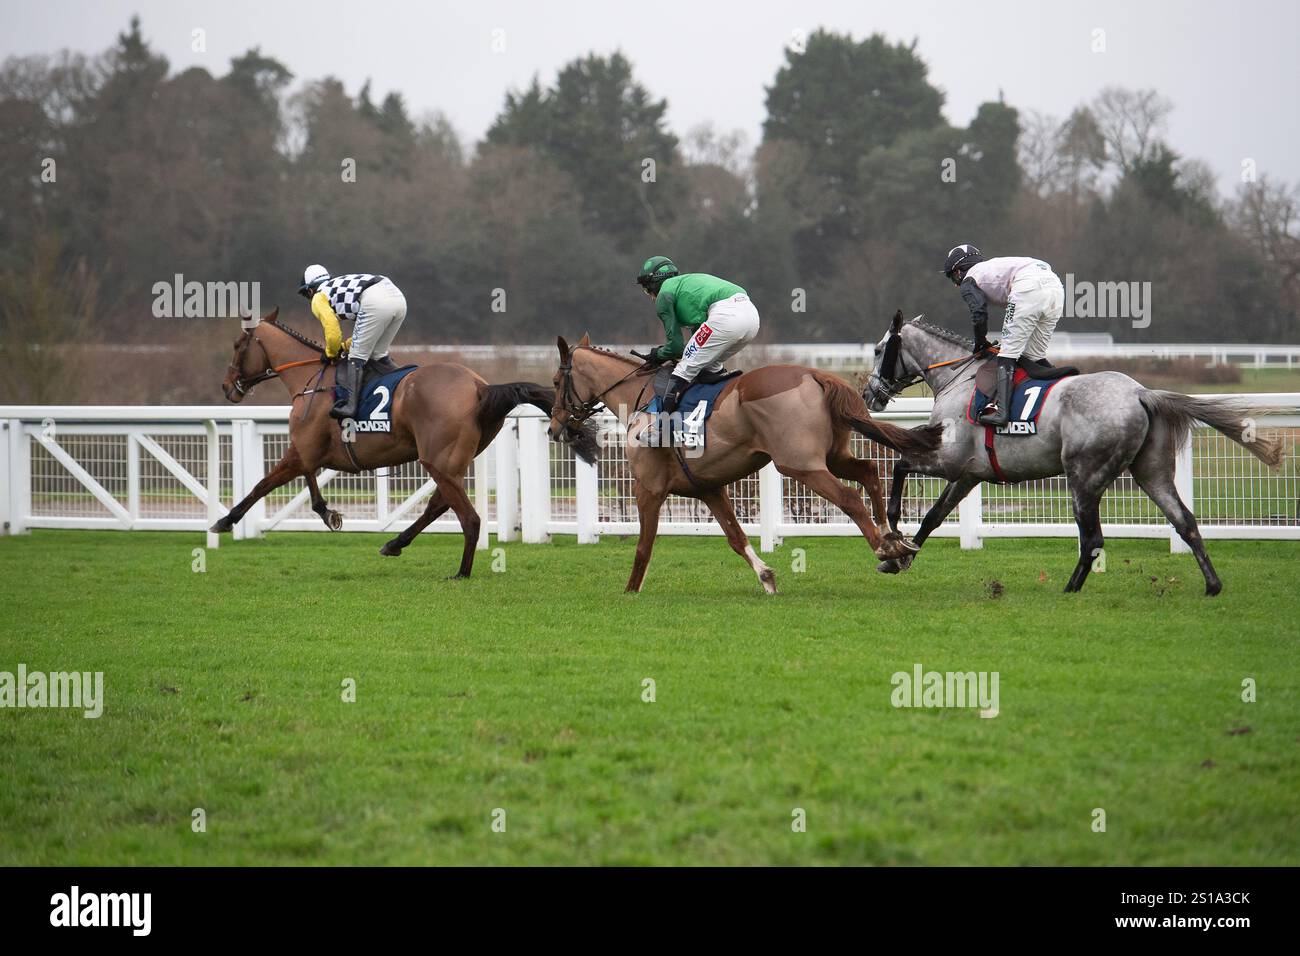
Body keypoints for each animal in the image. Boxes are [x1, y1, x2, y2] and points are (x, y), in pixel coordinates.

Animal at [215, 310, 595, 574]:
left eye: (237, 346)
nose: (227, 386)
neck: (312, 380)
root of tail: (481, 387)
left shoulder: (302, 450)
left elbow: (263, 484)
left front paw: (226, 521)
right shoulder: (309, 452)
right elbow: (303, 479)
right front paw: (329, 513)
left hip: (437, 461)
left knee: (468, 517)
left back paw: (461, 571)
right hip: (452, 462)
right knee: (438, 505)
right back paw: (395, 543)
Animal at [543, 335, 941, 590]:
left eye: (556, 380)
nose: (554, 427)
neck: (638, 398)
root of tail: (815, 373)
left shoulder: (649, 488)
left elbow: (644, 546)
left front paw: (631, 590)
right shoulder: (709, 489)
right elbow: (735, 537)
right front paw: (766, 577)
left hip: (798, 465)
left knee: (849, 497)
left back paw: (886, 547)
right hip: (832, 456)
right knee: (869, 472)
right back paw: (895, 540)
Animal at [857, 314, 1284, 595]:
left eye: (878, 350)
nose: (868, 394)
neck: (958, 378)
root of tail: (1140, 393)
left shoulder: (950, 461)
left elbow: (900, 467)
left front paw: (893, 536)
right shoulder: (969, 474)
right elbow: (933, 516)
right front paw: (900, 556)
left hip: (1084, 476)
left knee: (1093, 537)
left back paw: (1070, 587)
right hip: (1151, 472)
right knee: (1185, 521)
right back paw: (1212, 585)